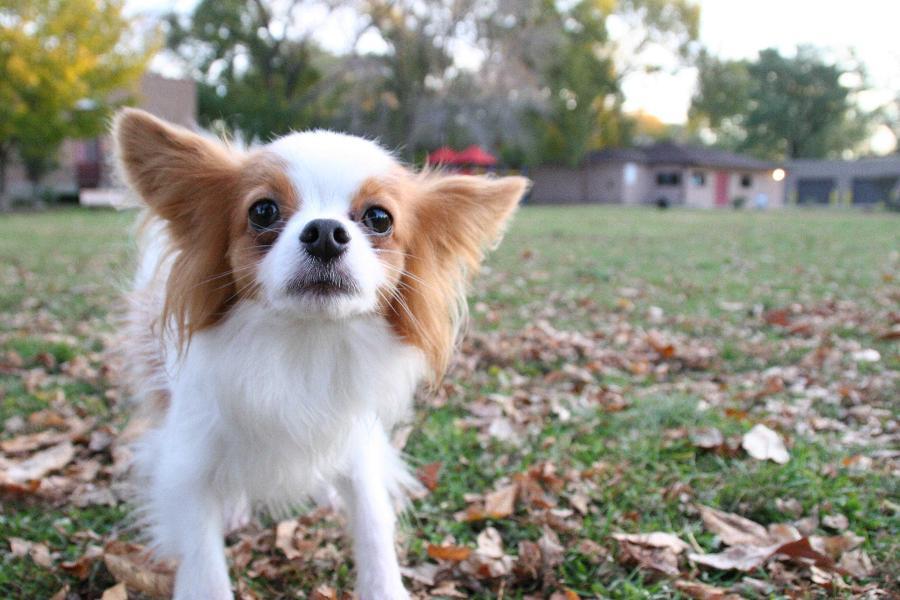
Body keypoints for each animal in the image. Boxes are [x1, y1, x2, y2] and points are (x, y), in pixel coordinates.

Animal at [113, 108, 528, 599]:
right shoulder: (188, 455)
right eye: (263, 211)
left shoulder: (357, 439)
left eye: (379, 218)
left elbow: (373, 521)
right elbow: (204, 562)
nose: (326, 232)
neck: (306, 343)